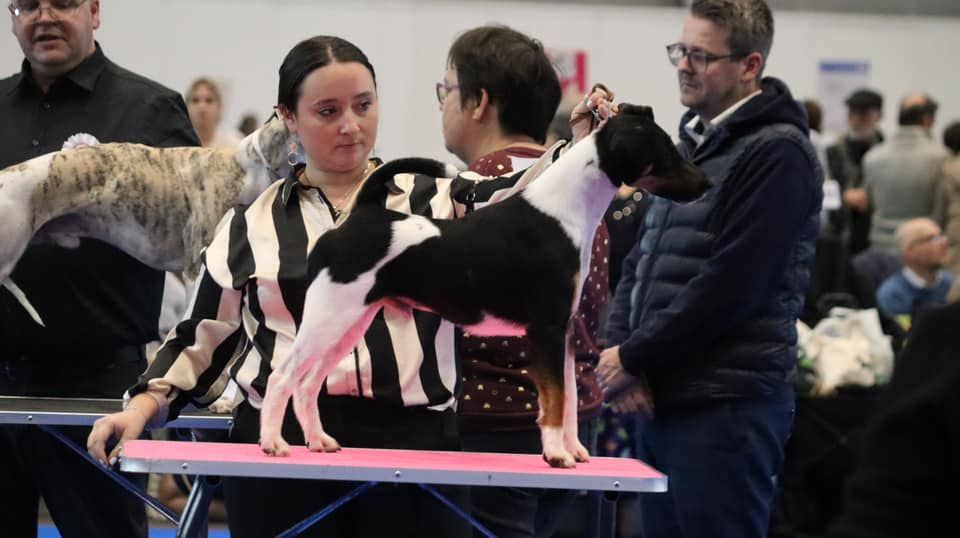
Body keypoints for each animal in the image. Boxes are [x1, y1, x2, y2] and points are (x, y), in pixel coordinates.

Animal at [258, 105, 709, 468]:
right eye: (666, 153)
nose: (706, 184)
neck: (566, 209)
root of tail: (362, 217)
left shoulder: (563, 331)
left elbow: (568, 401)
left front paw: (576, 451)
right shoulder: (545, 330)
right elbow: (554, 399)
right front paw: (556, 455)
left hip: (349, 323)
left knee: (307, 385)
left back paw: (319, 442)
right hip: (328, 317)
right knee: (283, 379)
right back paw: (274, 445)